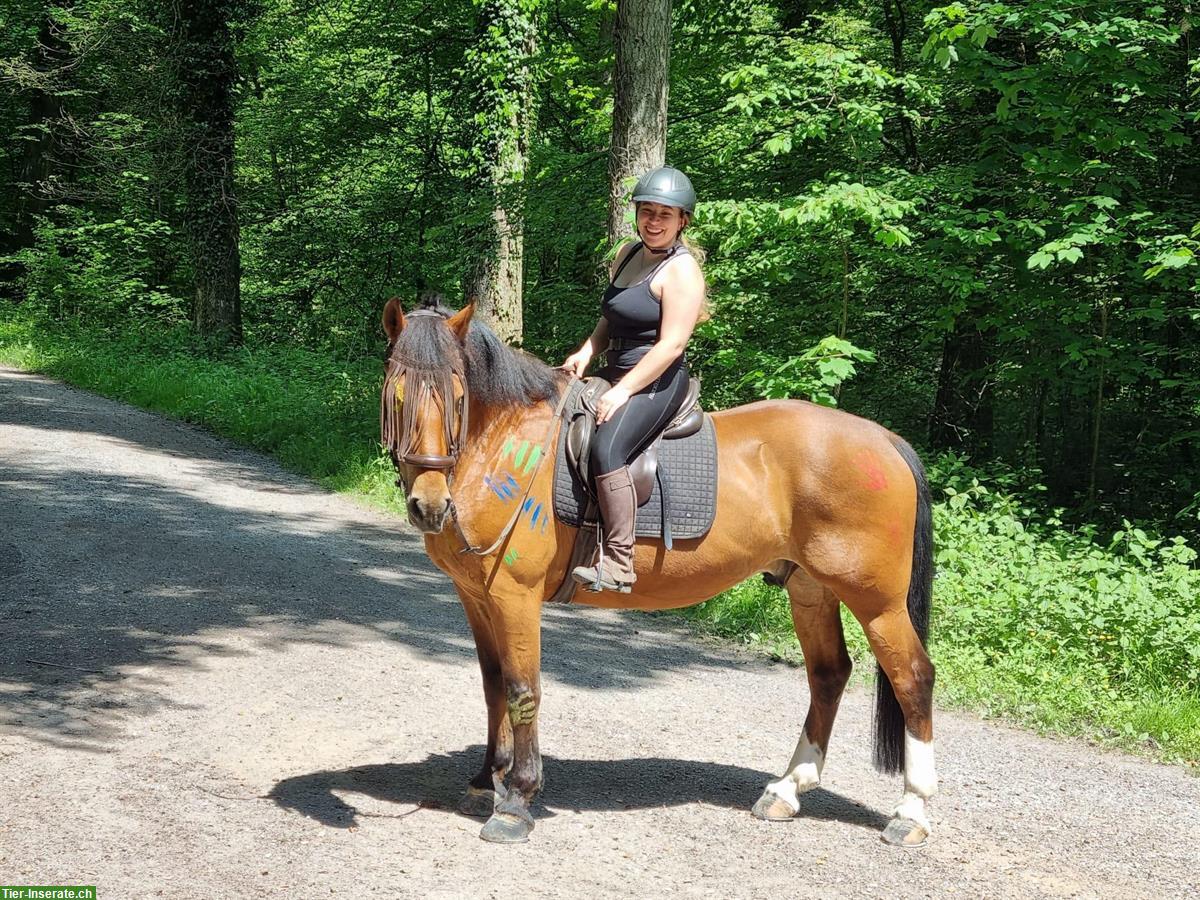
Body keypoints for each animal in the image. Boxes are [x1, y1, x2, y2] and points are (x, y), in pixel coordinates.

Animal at [381, 296, 936, 844]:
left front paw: (517, 799)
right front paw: (485, 780)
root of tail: (886, 441)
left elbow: (522, 690)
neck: (503, 445)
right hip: (811, 590)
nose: (429, 506)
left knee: (912, 677)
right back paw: (787, 790)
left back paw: (912, 811)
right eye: (396, 395)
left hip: (877, 603)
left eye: (457, 397)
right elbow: (493, 683)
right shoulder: (475, 596)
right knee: (828, 675)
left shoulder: (513, 595)